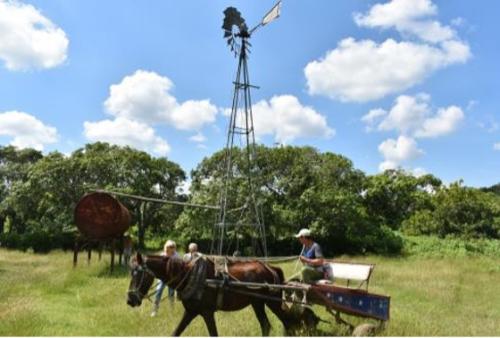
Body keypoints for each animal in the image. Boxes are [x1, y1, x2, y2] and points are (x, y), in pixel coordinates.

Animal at [127, 252, 302, 336]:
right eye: (131, 272)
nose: (130, 300)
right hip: (257, 303)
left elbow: (213, 334)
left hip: (272, 301)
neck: (190, 275)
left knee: (288, 323)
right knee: (266, 325)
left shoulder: (207, 312)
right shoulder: (191, 311)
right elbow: (176, 332)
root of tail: (271, 268)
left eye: (138, 273)